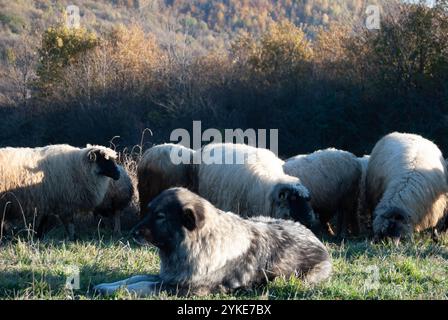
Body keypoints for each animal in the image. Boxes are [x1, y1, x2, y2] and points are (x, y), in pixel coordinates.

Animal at [93, 188, 332, 298]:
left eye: (160, 216)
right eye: (149, 211)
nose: (132, 233)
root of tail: (312, 235)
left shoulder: (185, 288)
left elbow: (142, 285)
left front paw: (112, 291)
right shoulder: (169, 277)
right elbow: (134, 278)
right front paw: (107, 286)